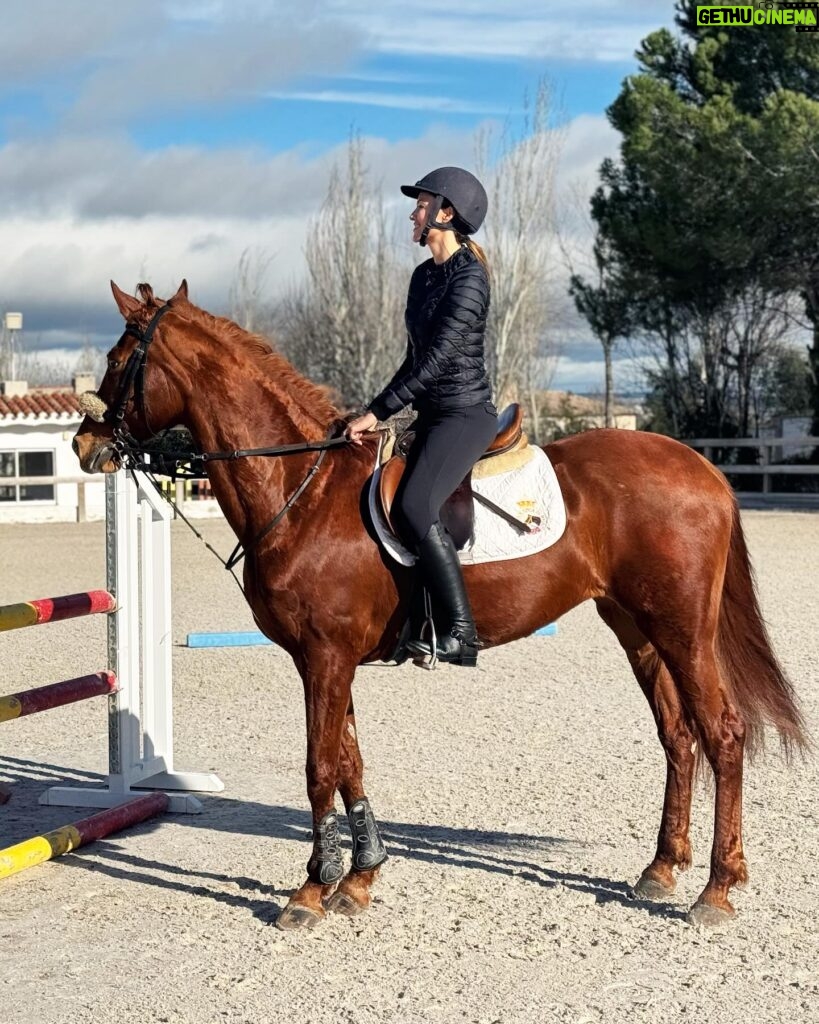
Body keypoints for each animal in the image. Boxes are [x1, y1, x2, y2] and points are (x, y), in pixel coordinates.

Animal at [72, 278, 806, 929]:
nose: (83, 444)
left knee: (722, 733)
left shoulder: (324, 656)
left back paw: (716, 891)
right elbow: (349, 761)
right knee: (677, 735)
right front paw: (360, 877)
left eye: (117, 360)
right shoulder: (328, 660)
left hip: (682, 629)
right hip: (638, 628)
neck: (303, 490)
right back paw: (661, 869)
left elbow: (319, 768)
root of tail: (703, 467)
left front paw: (309, 892)